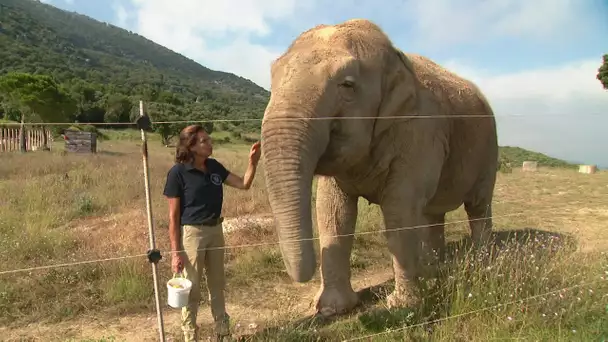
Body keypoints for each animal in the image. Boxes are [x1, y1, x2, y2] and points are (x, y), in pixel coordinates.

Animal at [258, 18, 496, 316]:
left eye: (347, 85)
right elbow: (332, 210)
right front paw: (332, 309)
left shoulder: (420, 130)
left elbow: (399, 206)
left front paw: (402, 306)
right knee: (432, 213)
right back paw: (433, 271)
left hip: (489, 149)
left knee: (478, 206)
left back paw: (481, 264)